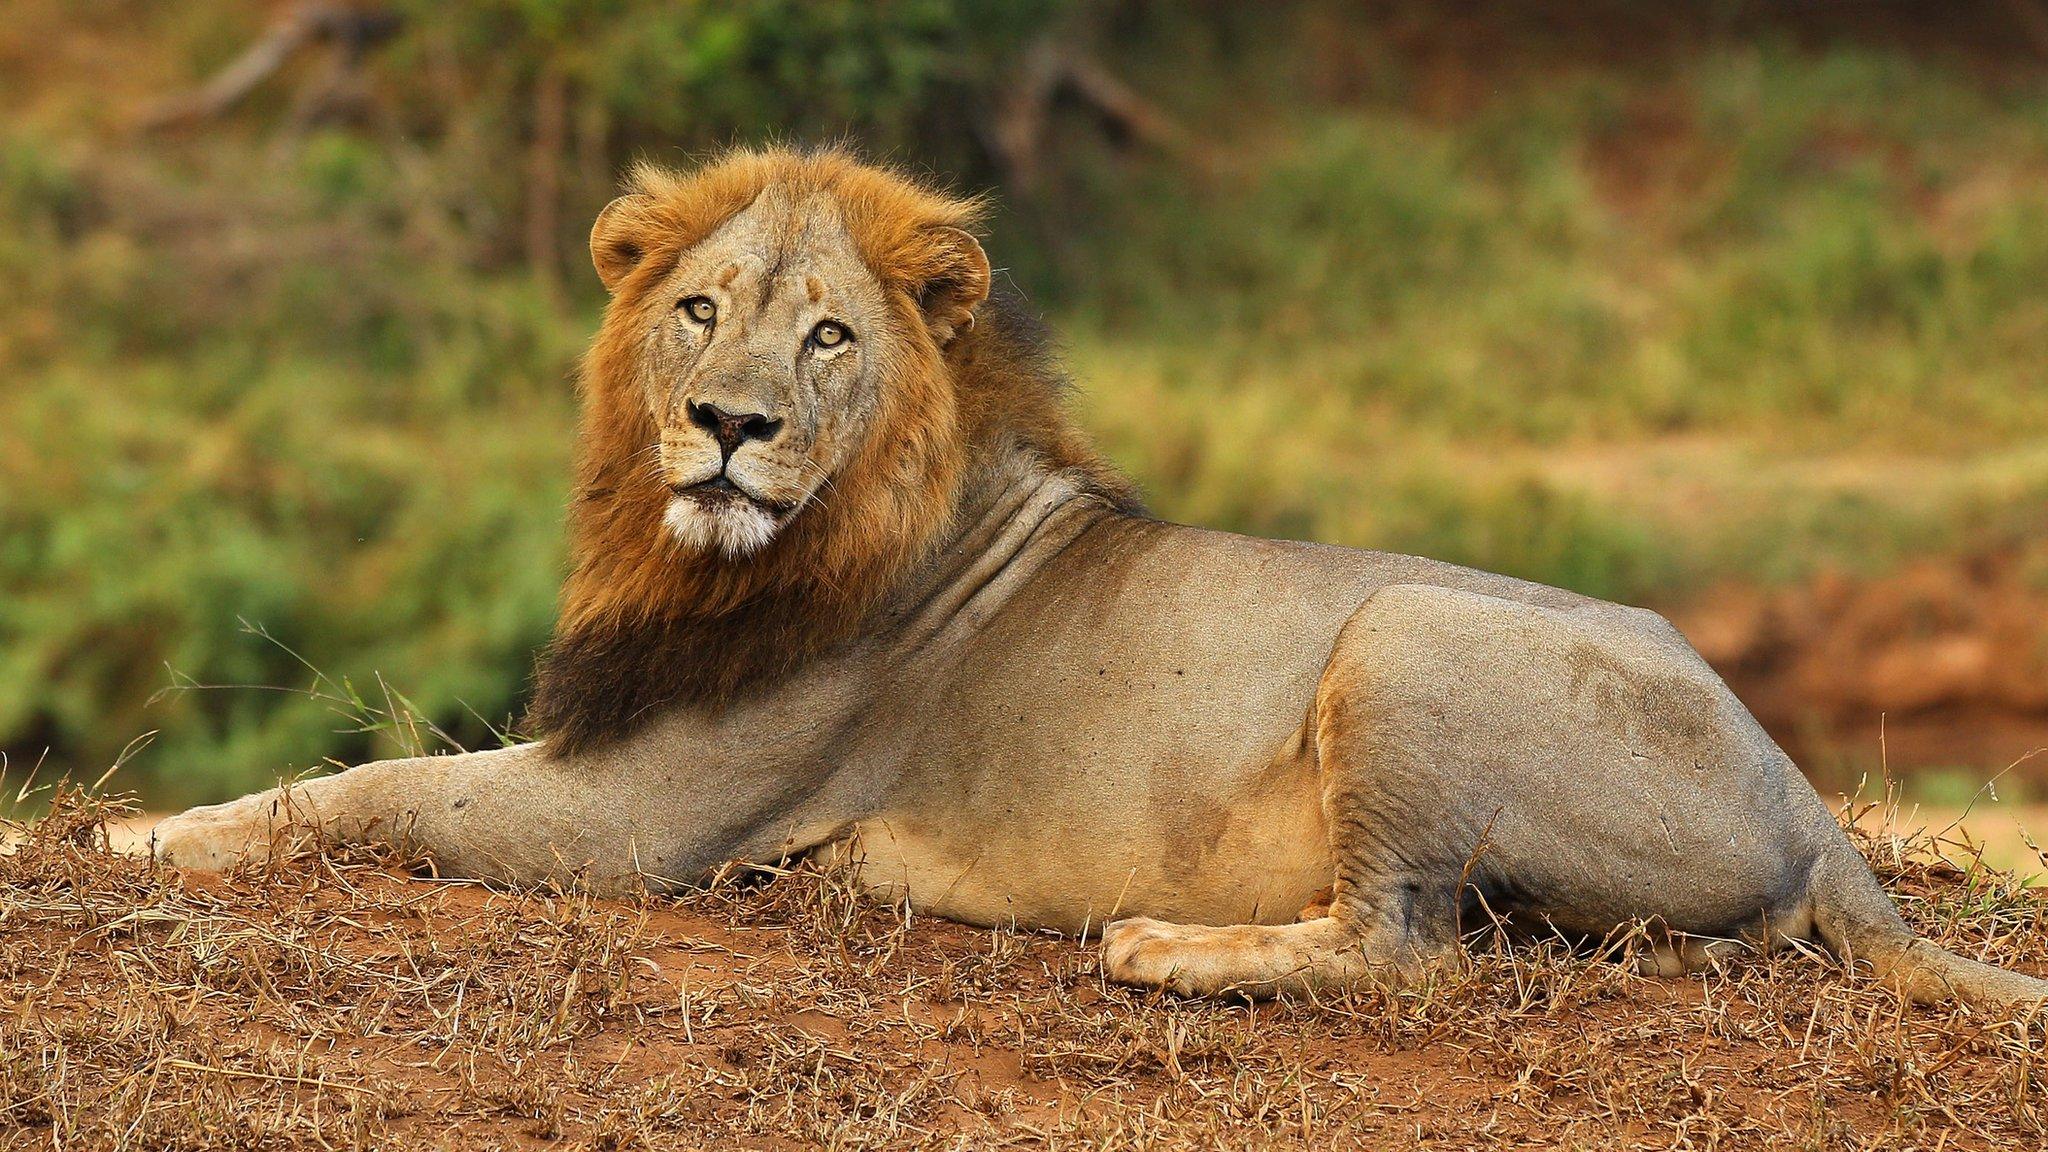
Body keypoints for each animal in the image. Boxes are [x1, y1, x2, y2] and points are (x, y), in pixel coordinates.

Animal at [155, 143, 2048, 1004]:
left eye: (828, 337)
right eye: (696, 308)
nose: (727, 426)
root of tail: (1806, 800)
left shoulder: (643, 822)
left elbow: (372, 787)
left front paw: (149, 835)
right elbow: (378, 772)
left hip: (1406, 630)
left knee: (1403, 945)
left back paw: (1161, 947)